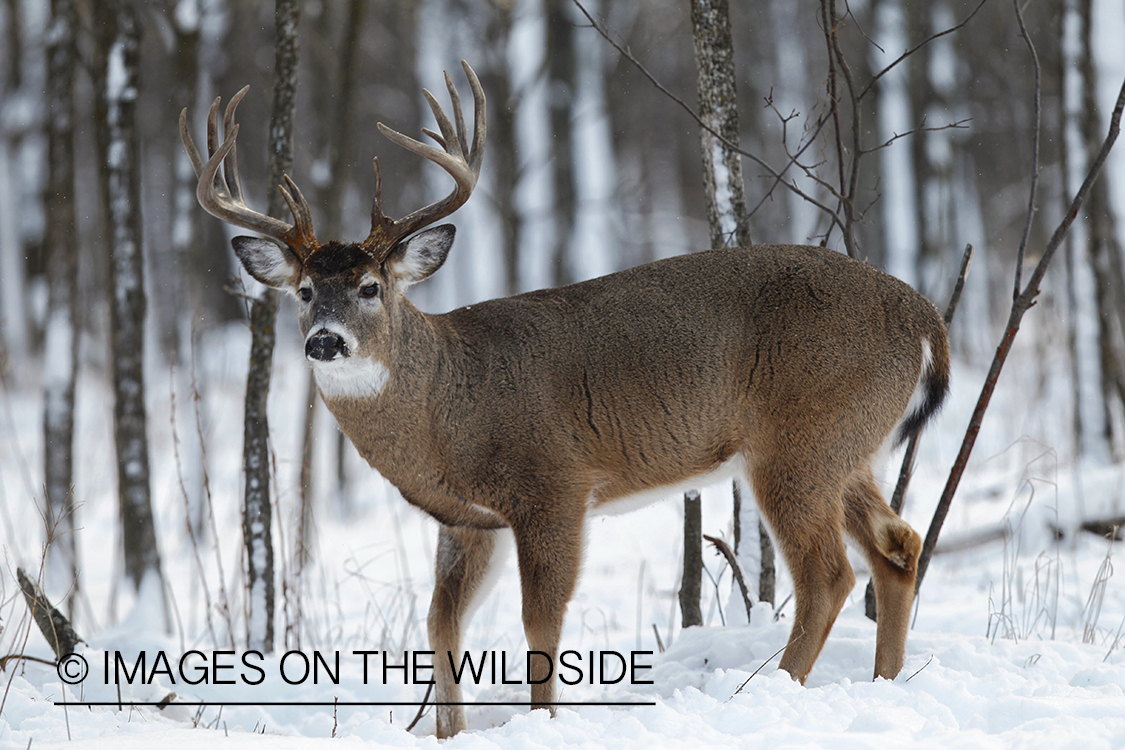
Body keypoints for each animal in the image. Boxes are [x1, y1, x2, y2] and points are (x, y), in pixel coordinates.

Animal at [182, 60, 949, 737]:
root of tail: (920, 313)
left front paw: (544, 723)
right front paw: (450, 733)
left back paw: (768, 693)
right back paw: (883, 683)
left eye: (371, 287)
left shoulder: (552, 484)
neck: (446, 404)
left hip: (799, 443)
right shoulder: (470, 519)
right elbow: (441, 622)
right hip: (849, 444)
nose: (325, 341)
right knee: (898, 545)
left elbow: (539, 621)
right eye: (305, 291)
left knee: (828, 575)